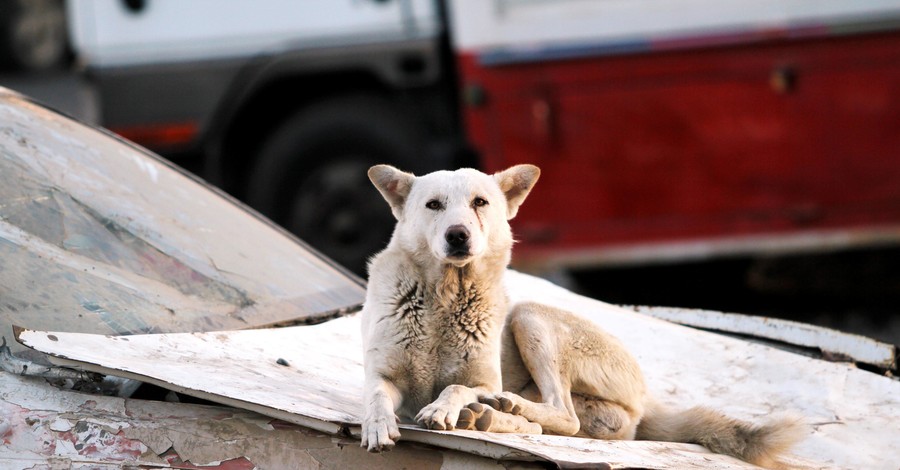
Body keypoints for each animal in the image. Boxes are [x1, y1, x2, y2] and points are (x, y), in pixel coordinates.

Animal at [358, 164, 800, 466]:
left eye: (479, 203)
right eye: (433, 205)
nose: (458, 235)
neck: (445, 299)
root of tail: (646, 398)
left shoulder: (482, 379)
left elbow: (456, 387)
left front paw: (443, 408)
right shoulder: (384, 375)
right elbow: (376, 396)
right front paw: (377, 426)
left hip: (530, 317)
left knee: (561, 416)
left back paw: (502, 409)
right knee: (548, 424)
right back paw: (487, 417)